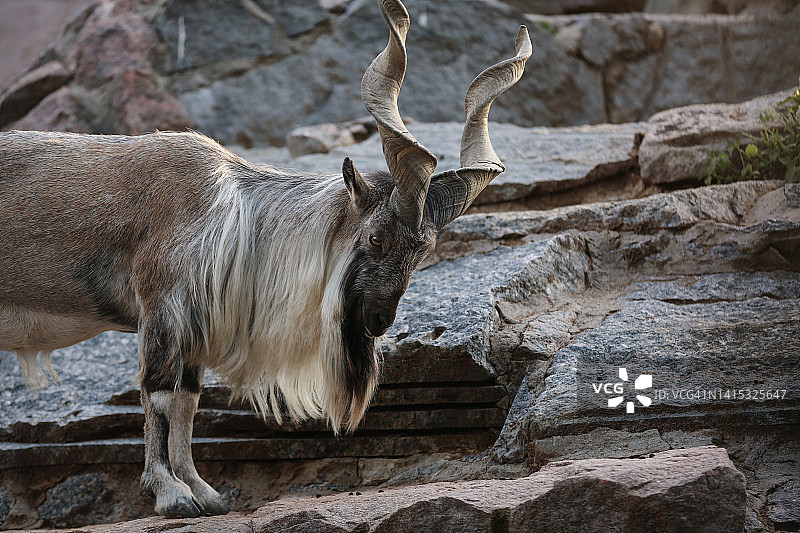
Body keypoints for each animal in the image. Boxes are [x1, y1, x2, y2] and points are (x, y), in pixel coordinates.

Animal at [3, 0, 536, 516]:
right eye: (376, 239)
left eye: (423, 251)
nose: (380, 320)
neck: (232, 213)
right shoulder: (161, 312)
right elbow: (158, 393)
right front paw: (171, 495)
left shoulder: (193, 333)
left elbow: (186, 402)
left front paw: (206, 494)